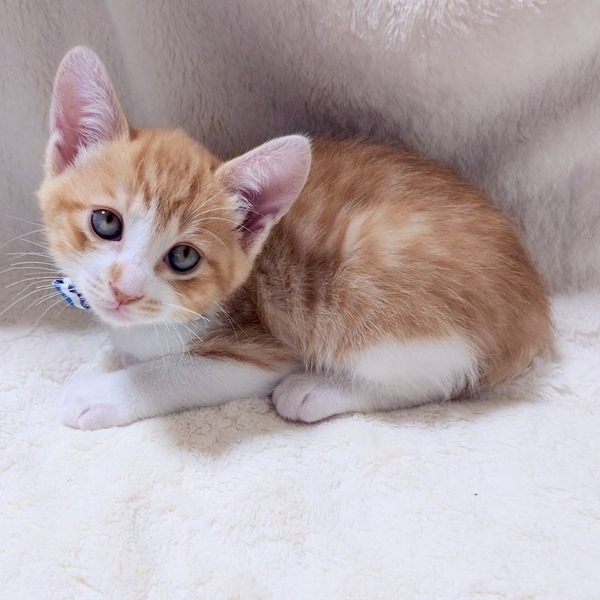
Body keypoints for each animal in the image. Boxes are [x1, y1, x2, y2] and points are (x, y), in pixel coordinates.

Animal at [37, 47, 552, 430]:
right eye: (106, 223)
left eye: (183, 256)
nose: (125, 290)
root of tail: (533, 311)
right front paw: (108, 357)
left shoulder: (262, 348)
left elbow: (174, 372)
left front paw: (100, 390)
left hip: (367, 288)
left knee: (438, 376)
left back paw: (316, 391)